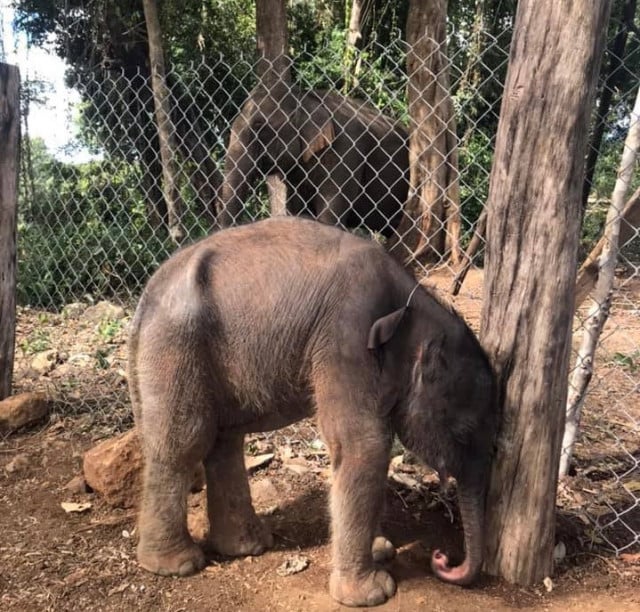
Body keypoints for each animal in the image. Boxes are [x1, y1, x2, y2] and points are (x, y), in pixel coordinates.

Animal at [129, 218, 496, 604]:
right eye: (463, 432)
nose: (443, 559)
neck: (413, 303)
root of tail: (148, 295)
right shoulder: (344, 340)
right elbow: (364, 445)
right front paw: (373, 593)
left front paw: (381, 550)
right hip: (177, 344)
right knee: (185, 441)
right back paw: (176, 565)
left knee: (224, 438)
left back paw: (248, 545)